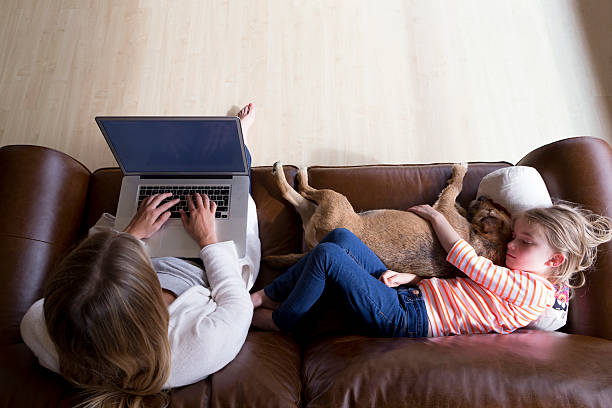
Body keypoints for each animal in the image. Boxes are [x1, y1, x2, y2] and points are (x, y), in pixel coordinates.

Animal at [266, 161, 512, 278]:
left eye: (495, 208)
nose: (482, 197)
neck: (478, 240)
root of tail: (318, 243)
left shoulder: (442, 208)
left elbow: (455, 187)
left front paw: (459, 172)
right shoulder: (447, 207)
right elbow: (454, 193)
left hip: (333, 200)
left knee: (299, 191)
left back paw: (290, 172)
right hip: (318, 208)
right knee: (296, 194)